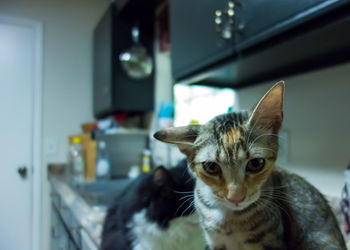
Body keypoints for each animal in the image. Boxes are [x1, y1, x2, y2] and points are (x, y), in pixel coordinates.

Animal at [154, 82, 346, 250]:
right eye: (211, 167)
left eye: (255, 164)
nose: (235, 197)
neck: (228, 221)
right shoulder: (216, 242)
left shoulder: (269, 241)